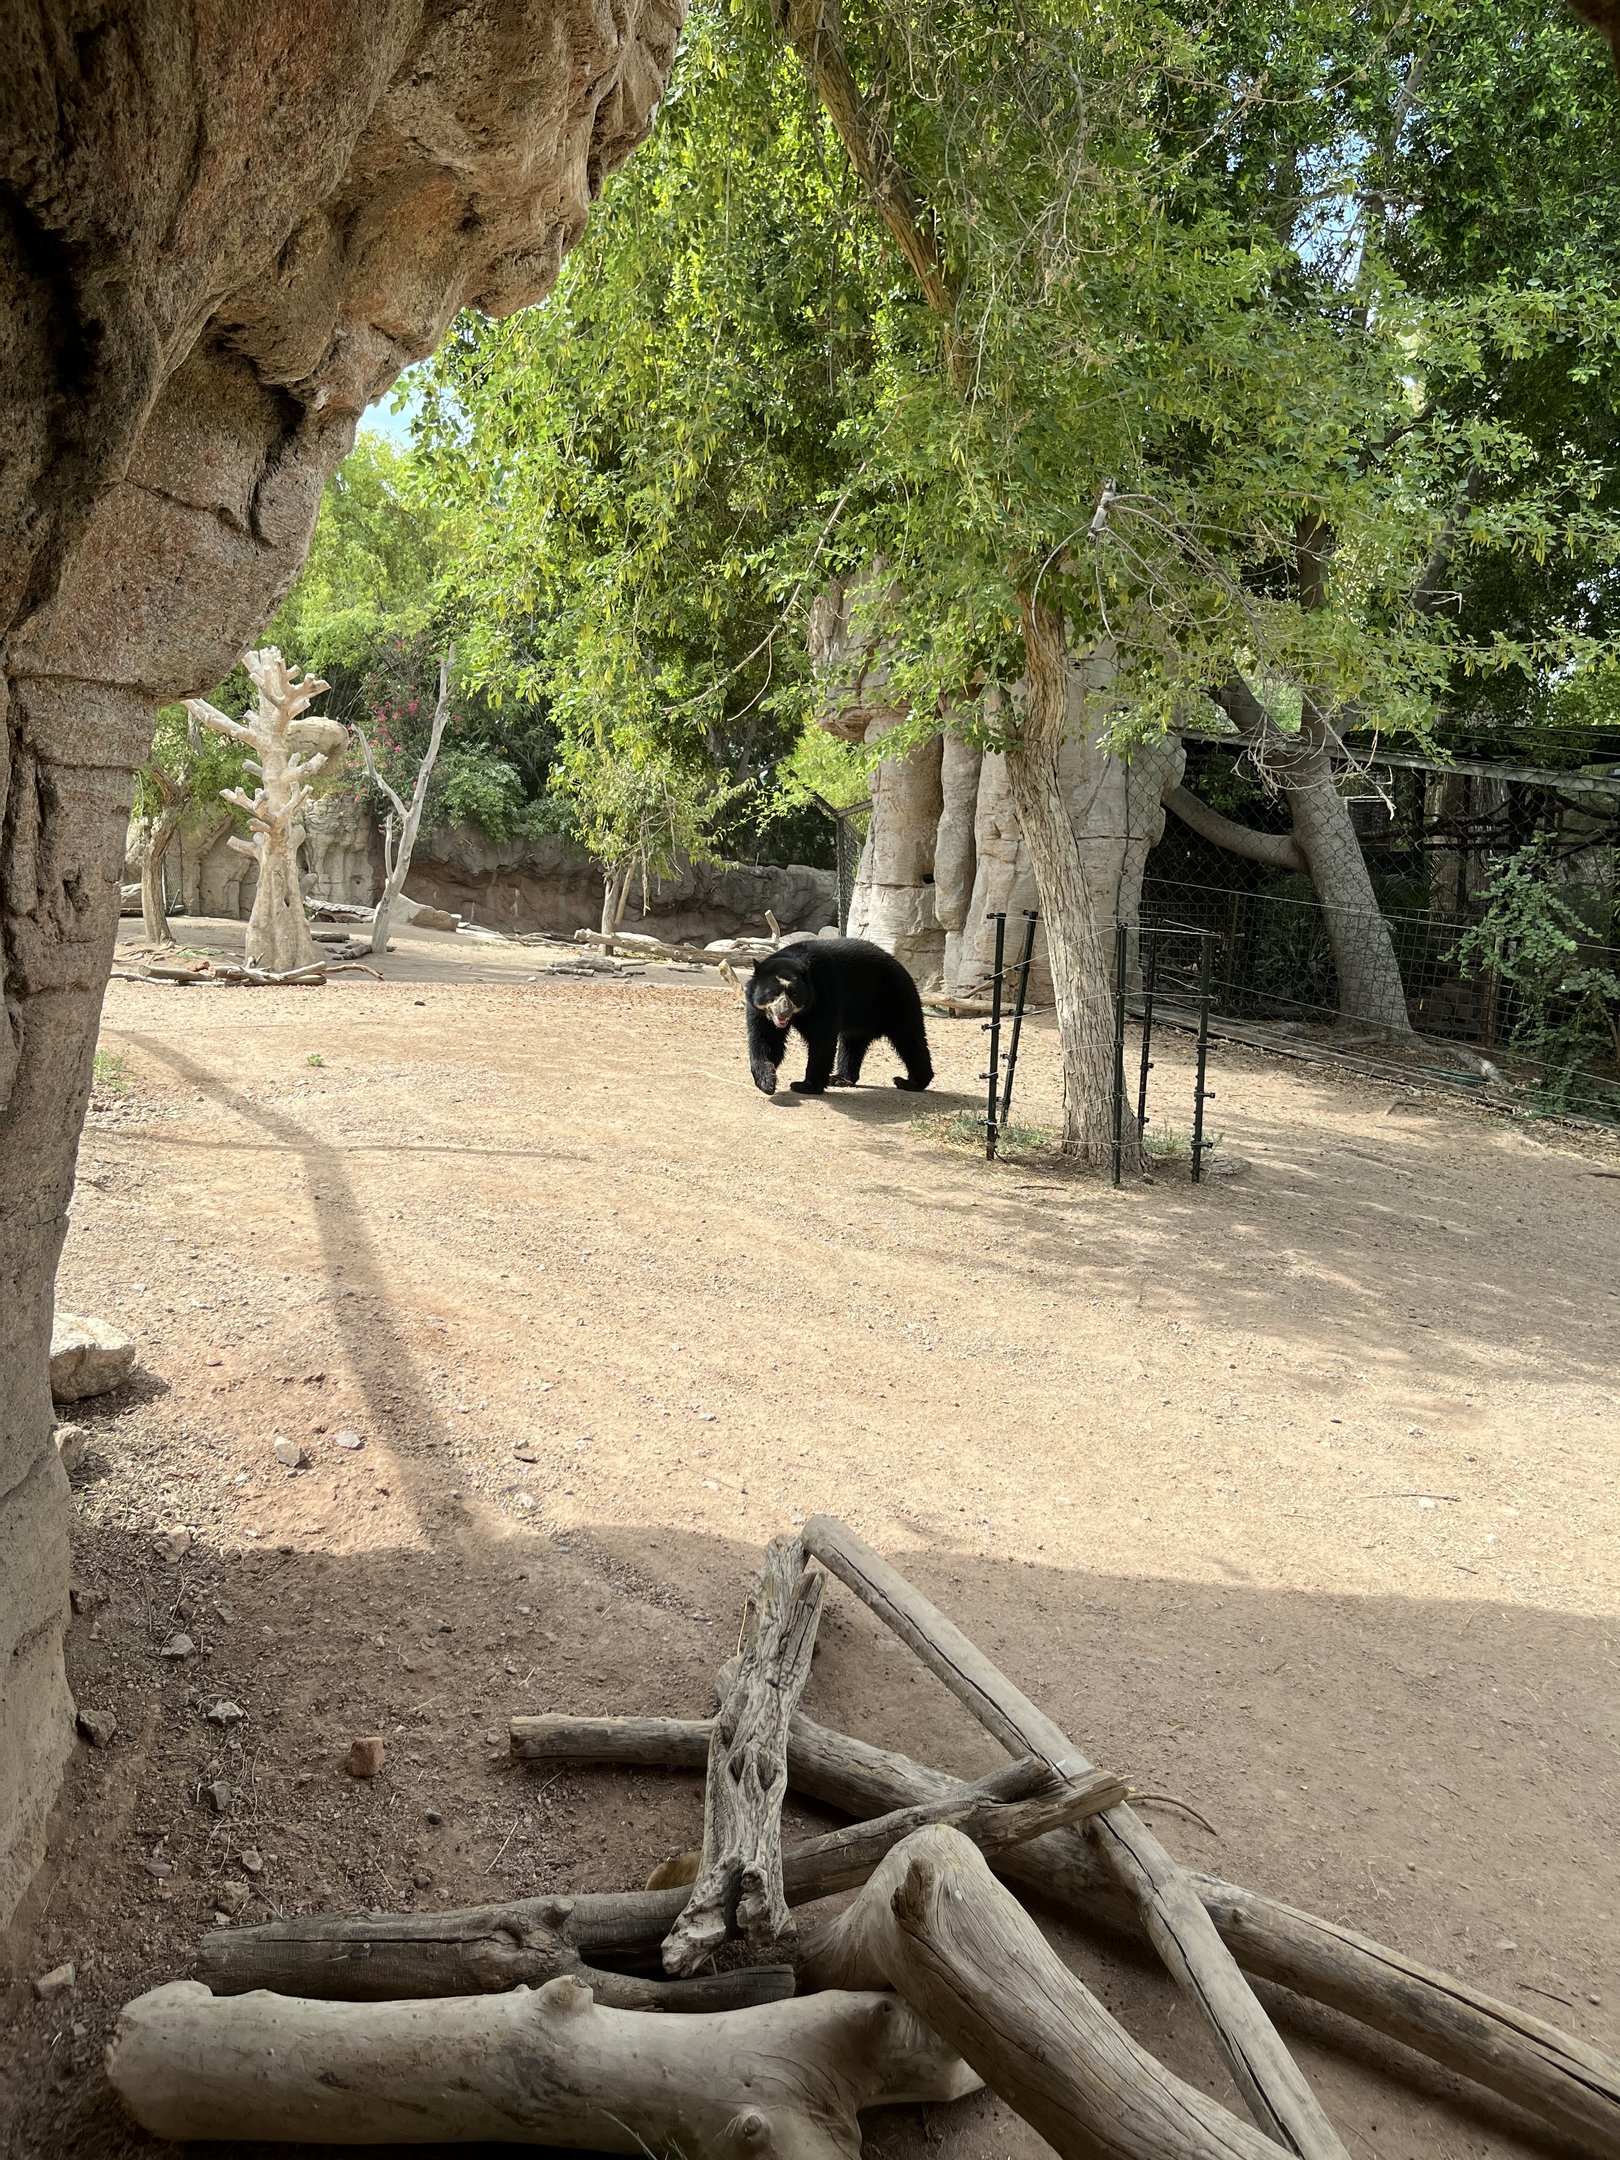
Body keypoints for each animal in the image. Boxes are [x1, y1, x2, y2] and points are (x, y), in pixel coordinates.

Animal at [745, 937, 934, 1097]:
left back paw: (910, 1082)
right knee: (852, 1044)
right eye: (772, 993)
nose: (783, 1012)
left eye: (794, 994)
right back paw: (841, 1078)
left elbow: (821, 1039)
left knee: (909, 1038)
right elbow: (766, 1039)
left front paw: (805, 1086)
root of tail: (903, 968)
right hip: (861, 1016)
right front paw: (766, 1081)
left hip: (896, 1000)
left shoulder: (823, 995)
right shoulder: (760, 1012)